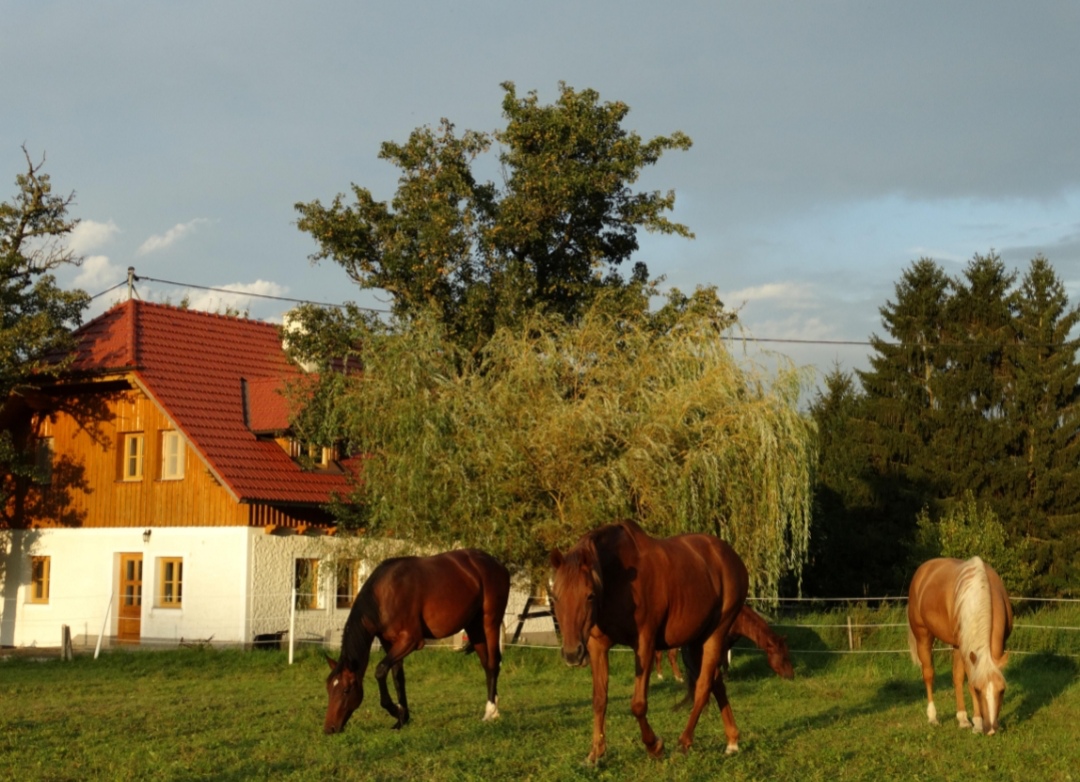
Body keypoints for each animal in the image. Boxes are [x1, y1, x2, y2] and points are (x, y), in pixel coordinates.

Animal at [323, 548, 510, 735]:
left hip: (490, 622)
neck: (384, 594)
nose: (329, 728)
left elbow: (380, 670)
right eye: (329, 688)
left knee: (493, 663)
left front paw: (394, 710)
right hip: (474, 627)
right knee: (486, 665)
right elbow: (398, 677)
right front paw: (402, 719)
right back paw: (494, 709)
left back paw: (490, 712)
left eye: (346, 690)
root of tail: (498, 564)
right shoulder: (389, 643)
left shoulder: (411, 640)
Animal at [549, 519, 748, 763]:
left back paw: (684, 743)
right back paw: (732, 741)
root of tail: (730, 556)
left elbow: (638, 704)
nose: (572, 654)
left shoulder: (644, 644)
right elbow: (599, 699)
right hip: (696, 641)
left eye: (589, 595)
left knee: (703, 688)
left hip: (716, 634)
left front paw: (655, 746)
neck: (619, 579)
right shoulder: (597, 647)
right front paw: (596, 752)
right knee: (716, 683)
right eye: (555, 596)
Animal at [907, 556, 1013, 735]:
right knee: (928, 674)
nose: (991, 729)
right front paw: (977, 723)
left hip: (956, 645)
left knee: (956, 677)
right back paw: (933, 717)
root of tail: (924, 569)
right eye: (978, 690)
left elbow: (960, 678)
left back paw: (962, 719)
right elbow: (969, 682)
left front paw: (970, 721)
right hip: (923, 636)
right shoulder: (967, 652)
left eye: (1002, 690)